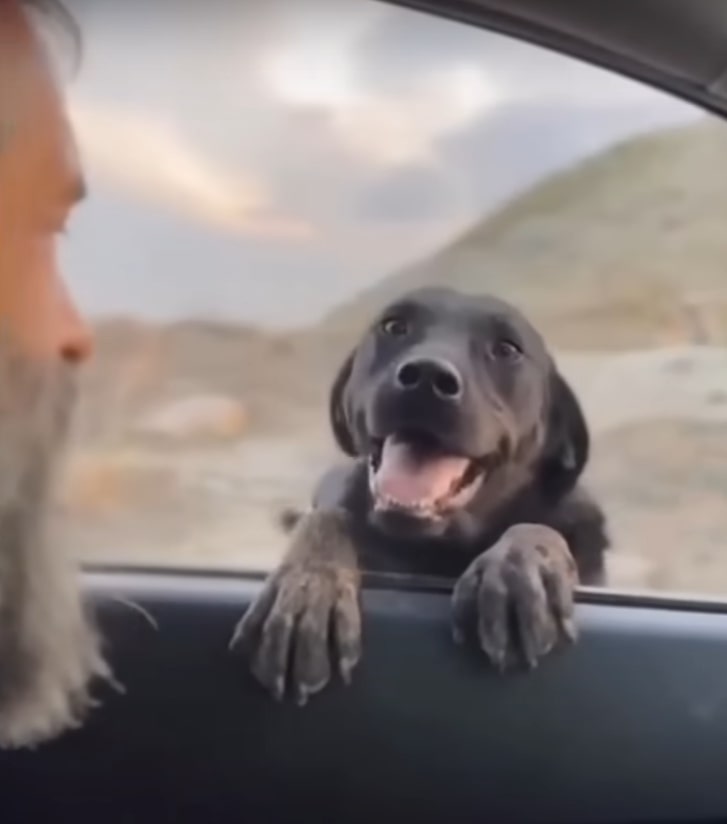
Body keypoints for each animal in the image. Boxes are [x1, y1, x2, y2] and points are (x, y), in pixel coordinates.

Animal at [233, 288, 608, 700]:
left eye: (507, 349)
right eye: (395, 326)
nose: (428, 376)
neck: (436, 546)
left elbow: (537, 528)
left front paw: (516, 568)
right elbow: (327, 518)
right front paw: (307, 588)